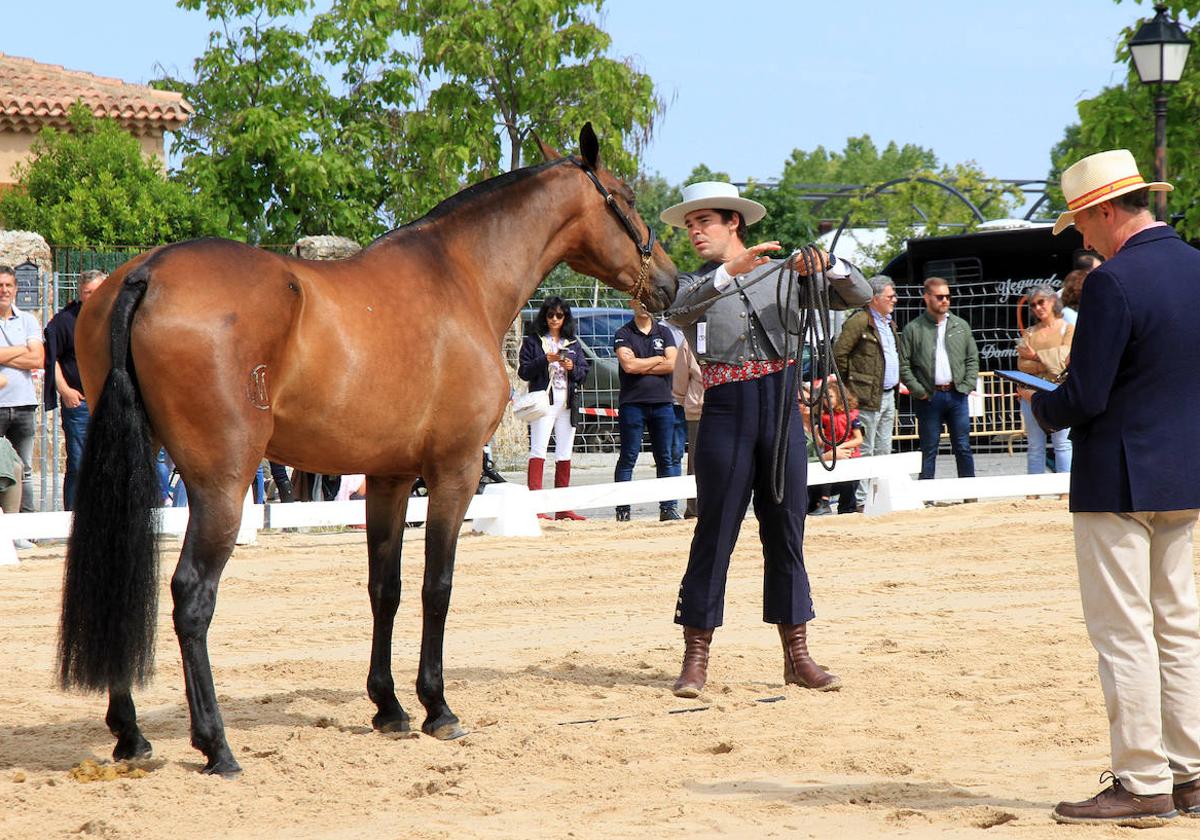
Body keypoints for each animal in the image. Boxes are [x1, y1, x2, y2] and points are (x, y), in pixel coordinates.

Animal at [56, 123, 681, 772]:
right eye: (627, 197)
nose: (669, 282)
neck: (462, 278)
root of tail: (147, 273)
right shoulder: (454, 471)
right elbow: (437, 587)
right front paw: (437, 708)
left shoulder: (390, 477)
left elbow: (387, 588)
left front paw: (389, 707)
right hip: (222, 484)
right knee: (191, 595)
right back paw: (216, 744)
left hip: (136, 467)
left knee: (118, 578)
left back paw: (131, 736)